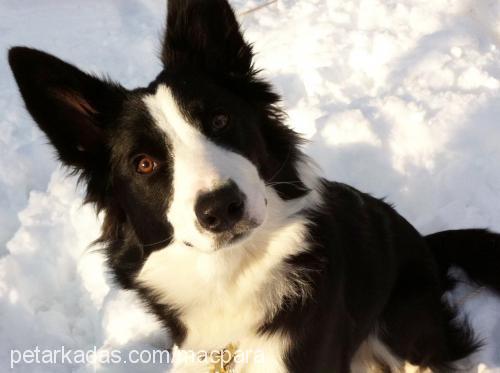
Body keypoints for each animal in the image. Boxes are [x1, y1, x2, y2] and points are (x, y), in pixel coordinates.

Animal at [6, 1, 500, 370]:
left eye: (220, 120)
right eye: (144, 164)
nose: (221, 208)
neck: (232, 278)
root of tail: (426, 245)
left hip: (404, 323)